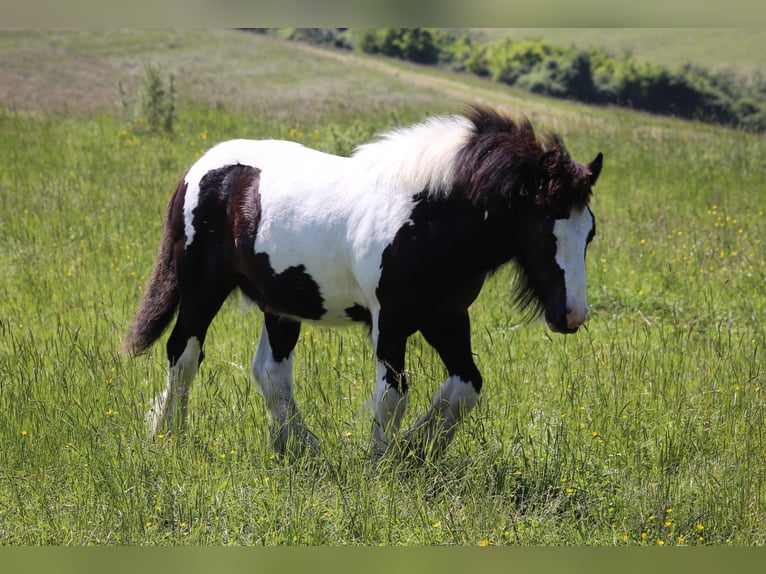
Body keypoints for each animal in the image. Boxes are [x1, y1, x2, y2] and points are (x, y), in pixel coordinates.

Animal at [124, 104, 608, 464]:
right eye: (546, 229)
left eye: (589, 232)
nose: (572, 315)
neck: (430, 216)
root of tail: (201, 169)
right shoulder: (390, 322)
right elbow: (394, 394)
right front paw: (381, 464)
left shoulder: (447, 318)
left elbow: (466, 387)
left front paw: (413, 451)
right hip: (202, 289)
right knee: (184, 354)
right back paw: (170, 437)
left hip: (282, 305)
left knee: (271, 372)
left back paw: (301, 450)